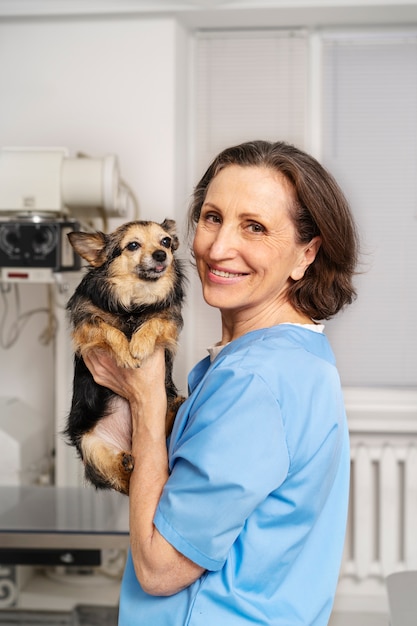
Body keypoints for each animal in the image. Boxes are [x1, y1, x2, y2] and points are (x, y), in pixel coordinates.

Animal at [63, 218, 185, 492]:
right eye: (132, 245)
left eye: (166, 241)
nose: (161, 254)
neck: (134, 304)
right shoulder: (86, 323)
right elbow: (108, 330)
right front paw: (126, 354)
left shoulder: (169, 318)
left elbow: (155, 322)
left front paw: (140, 344)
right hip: (90, 444)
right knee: (121, 479)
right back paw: (124, 462)